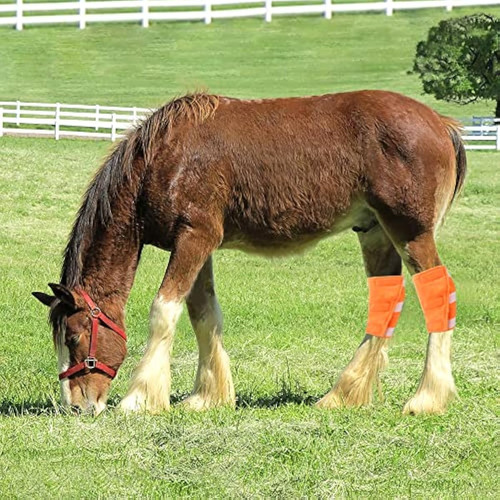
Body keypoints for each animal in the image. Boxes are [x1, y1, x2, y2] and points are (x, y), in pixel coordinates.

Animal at [34, 90, 464, 414]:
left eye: (74, 336)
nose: (77, 406)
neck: (166, 158)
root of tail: (440, 123)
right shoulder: (198, 246)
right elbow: (203, 315)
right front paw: (207, 397)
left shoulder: (194, 239)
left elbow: (163, 312)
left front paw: (140, 399)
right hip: (375, 232)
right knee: (385, 302)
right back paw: (343, 394)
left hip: (410, 232)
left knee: (438, 294)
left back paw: (426, 399)